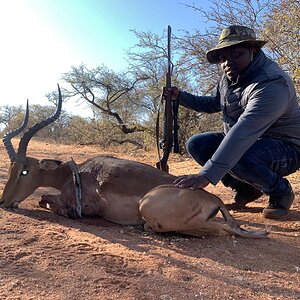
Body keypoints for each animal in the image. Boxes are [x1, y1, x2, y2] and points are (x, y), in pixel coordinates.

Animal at [0, 85, 268, 238]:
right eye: (11, 168)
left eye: (25, 171)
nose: (4, 202)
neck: (76, 172)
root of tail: (214, 199)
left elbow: (46, 199)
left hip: (149, 208)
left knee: (220, 230)